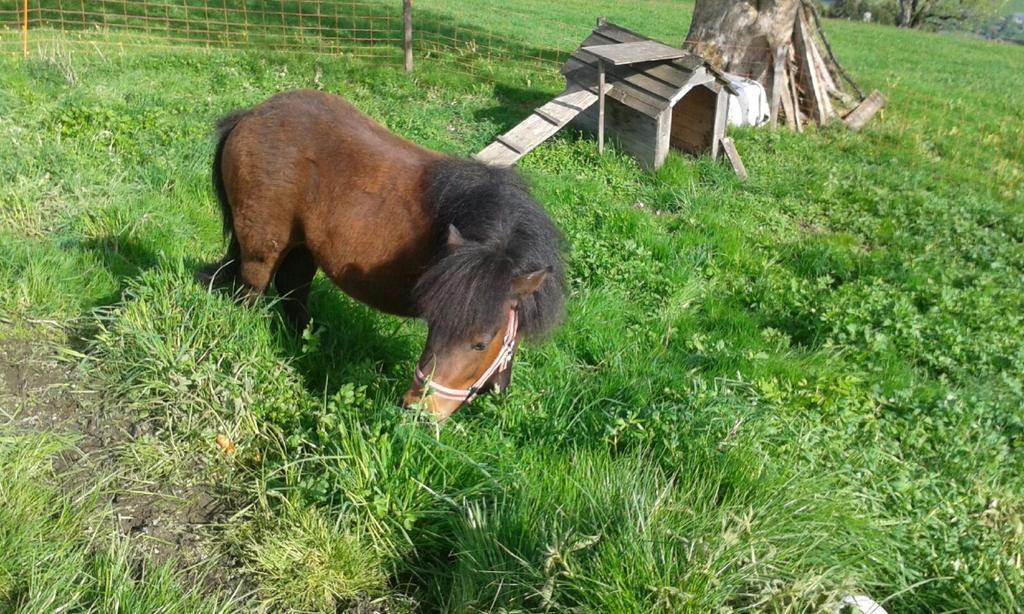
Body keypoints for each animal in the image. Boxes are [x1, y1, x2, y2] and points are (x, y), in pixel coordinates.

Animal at [199, 88, 569, 419]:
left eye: (480, 343)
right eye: (433, 327)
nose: (417, 409)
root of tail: (249, 116)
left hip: (302, 248)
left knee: (294, 291)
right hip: (262, 251)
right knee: (252, 294)